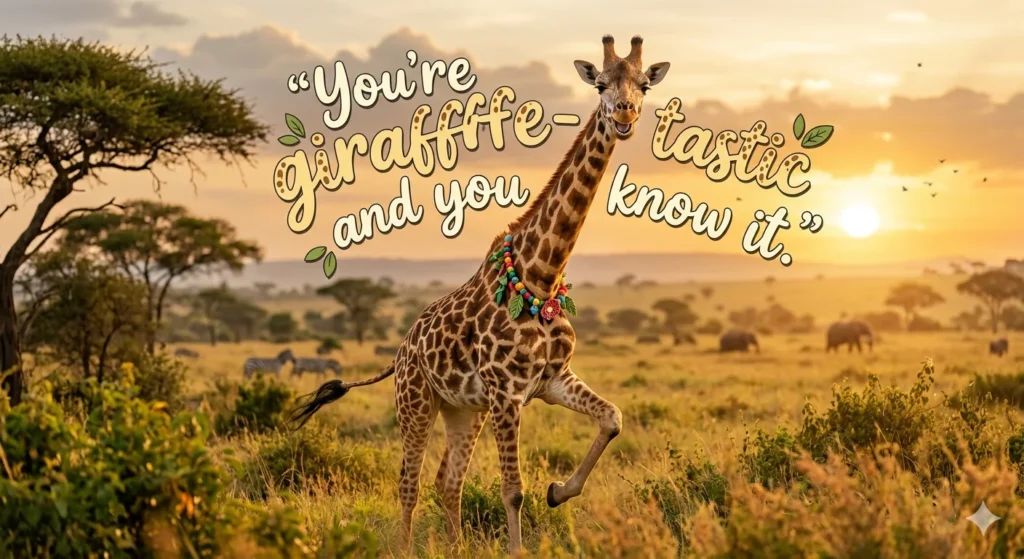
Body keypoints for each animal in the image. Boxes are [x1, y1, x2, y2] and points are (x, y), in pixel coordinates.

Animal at [289, 35, 670, 555]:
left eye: (644, 85)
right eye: (601, 85)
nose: (625, 114)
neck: (540, 274)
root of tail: (401, 349)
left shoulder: (550, 381)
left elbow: (613, 417)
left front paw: (559, 491)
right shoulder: (507, 393)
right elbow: (513, 490)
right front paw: (518, 548)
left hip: (463, 410)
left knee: (447, 481)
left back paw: (455, 546)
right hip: (416, 402)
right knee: (408, 482)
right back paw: (406, 547)